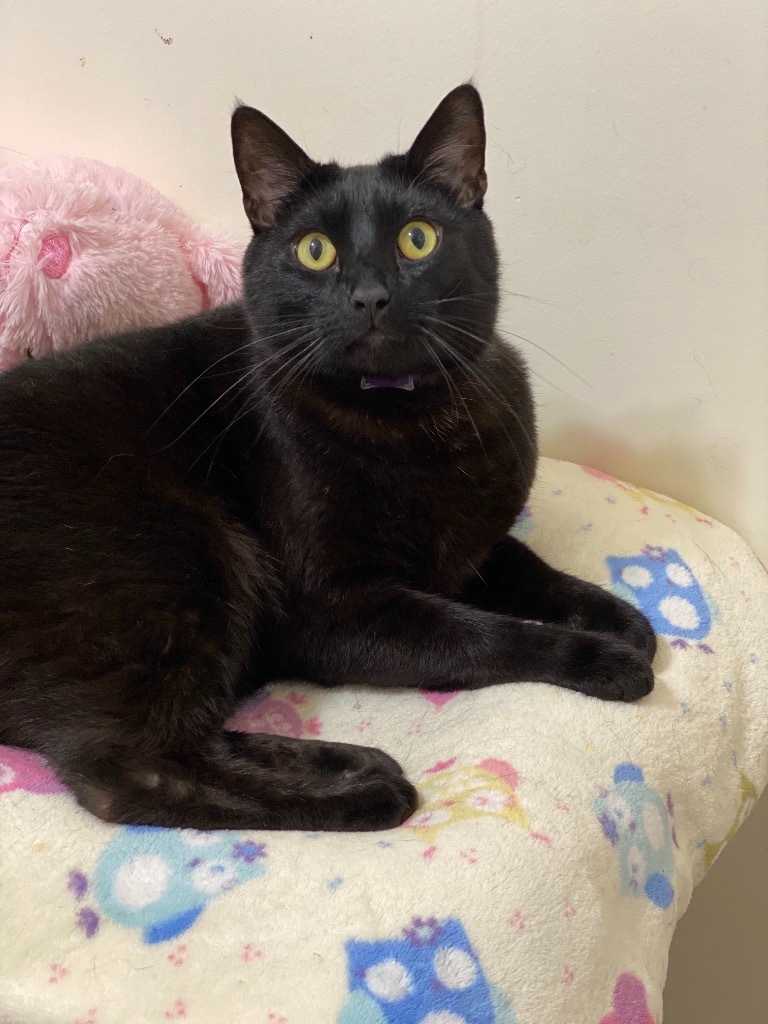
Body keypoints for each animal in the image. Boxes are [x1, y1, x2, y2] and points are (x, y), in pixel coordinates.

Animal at [0, 83, 655, 827]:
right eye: (315, 250)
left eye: (417, 238)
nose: (369, 295)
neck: (411, 422)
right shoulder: (331, 607)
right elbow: (481, 635)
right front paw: (604, 660)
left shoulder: (468, 551)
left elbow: (532, 571)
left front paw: (620, 619)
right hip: (172, 553)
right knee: (132, 770)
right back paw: (365, 789)